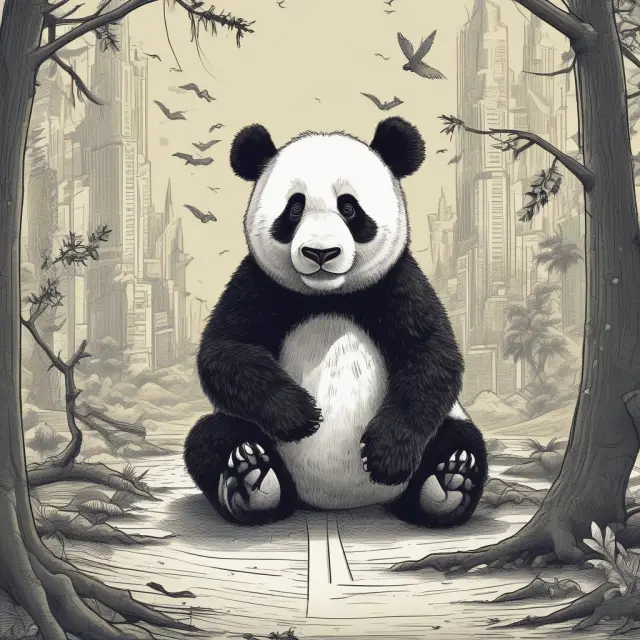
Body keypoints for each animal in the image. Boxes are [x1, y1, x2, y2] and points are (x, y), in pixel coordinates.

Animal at [184, 116, 488, 528]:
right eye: (294, 209)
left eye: (349, 208)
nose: (321, 253)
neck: (329, 295)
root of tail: (341, 503)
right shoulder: (258, 284)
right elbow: (225, 350)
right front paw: (301, 415)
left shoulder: (398, 283)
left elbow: (430, 353)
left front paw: (387, 455)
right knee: (210, 439)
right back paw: (250, 478)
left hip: (449, 425)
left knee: (463, 440)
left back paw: (449, 480)